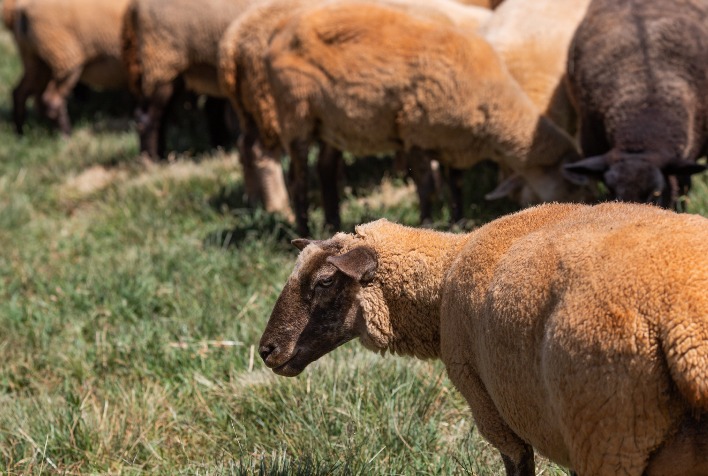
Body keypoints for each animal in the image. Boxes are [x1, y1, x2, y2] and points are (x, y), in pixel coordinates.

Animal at [123, 0, 258, 158]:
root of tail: (134, 6)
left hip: (177, 68)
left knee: (161, 115)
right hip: (161, 63)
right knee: (148, 115)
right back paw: (151, 158)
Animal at [258, 202, 708, 476]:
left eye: (325, 281)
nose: (266, 350)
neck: (443, 275)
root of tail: (688, 334)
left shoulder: (493, 413)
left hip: (608, 434)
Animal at [264, 1, 588, 236]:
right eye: (572, 186)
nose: (581, 211)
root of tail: (279, 31)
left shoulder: (453, 143)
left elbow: (456, 184)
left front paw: (459, 223)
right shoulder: (415, 133)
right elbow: (427, 187)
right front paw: (429, 224)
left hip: (333, 123)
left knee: (326, 169)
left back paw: (333, 224)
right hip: (296, 113)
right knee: (298, 179)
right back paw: (305, 229)